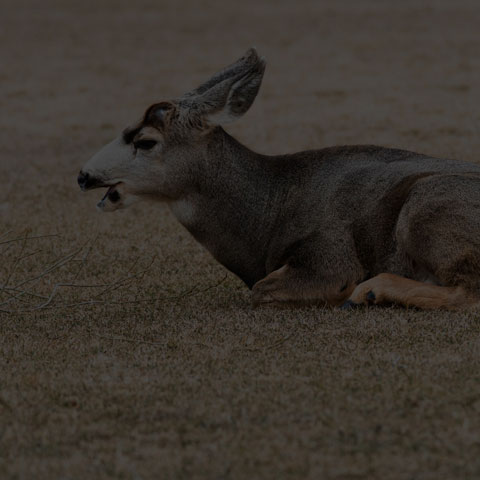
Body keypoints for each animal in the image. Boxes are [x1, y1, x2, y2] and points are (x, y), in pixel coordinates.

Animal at [77, 49, 480, 312]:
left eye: (145, 141)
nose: (83, 175)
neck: (269, 211)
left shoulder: (331, 256)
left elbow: (261, 290)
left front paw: (341, 294)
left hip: (425, 207)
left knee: (469, 291)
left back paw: (369, 292)